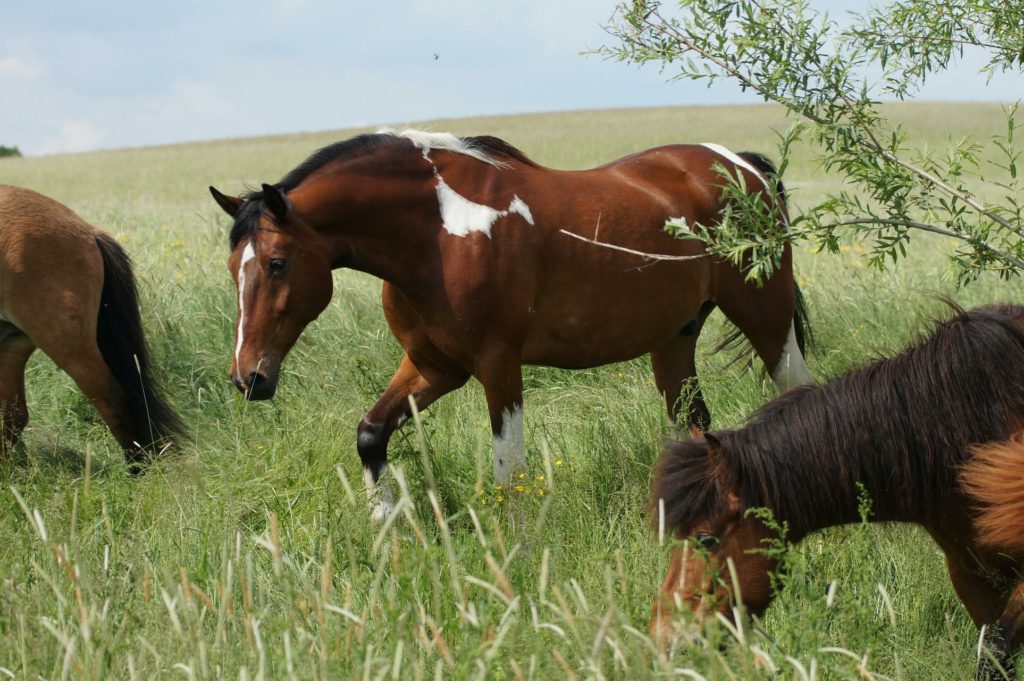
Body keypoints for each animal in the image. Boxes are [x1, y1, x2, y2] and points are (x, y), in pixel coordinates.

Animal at [0, 185, 183, 469]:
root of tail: (87, 231)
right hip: (13, 345)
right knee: (13, 414)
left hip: (66, 343)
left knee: (113, 398)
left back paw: (137, 468)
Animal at [209, 129, 813, 516]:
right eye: (233, 268)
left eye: (276, 262)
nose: (248, 377)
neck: (435, 232)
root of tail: (742, 166)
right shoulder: (434, 366)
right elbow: (370, 435)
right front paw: (388, 526)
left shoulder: (498, 365)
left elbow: (508, 468)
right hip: (673, 339)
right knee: (691, 423)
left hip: (766, 315)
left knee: (798, 393)